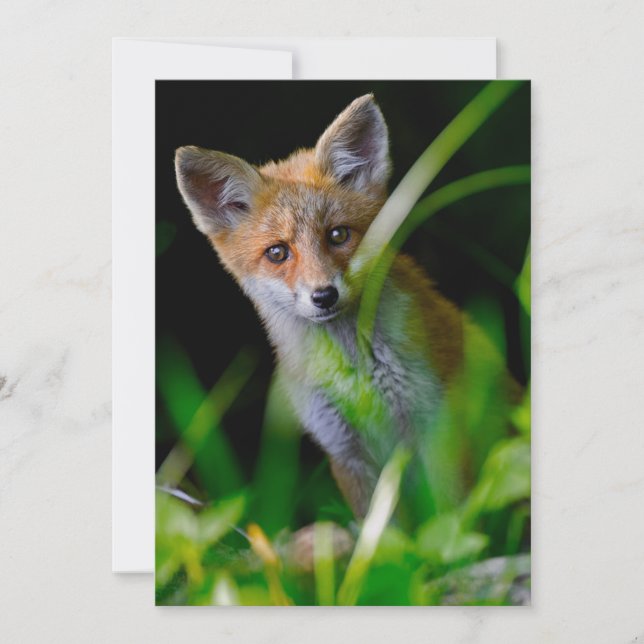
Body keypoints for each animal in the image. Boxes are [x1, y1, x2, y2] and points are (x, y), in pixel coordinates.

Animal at [175, 94, 513, 519]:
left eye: (337, 235)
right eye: (277, 253)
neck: (355, 373)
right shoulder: (343, 450)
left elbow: (448, 518)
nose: (324, 296)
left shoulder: (438, 427)